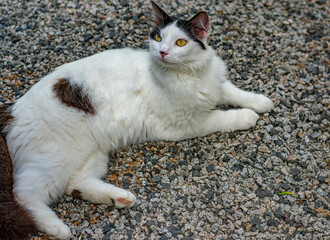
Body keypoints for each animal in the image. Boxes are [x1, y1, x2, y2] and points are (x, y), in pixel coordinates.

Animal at [0, 0, 274, 239]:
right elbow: (221, 117)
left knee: (74, 184)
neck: (189, 74)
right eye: (158, 38)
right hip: (56, 158)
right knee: (24, 193)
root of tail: (11, 110)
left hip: (93, 152)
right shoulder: (185, 124)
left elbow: (234, 92)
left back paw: (119, 198)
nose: (162, 52)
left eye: (181, 42)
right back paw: (57, 228)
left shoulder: (215, 86)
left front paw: (261, 102)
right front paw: (246, 116)